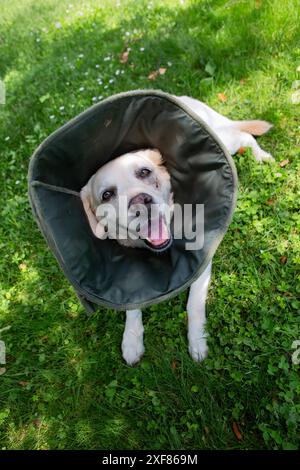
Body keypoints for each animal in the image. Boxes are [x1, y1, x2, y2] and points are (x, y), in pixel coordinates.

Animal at [80, 95, 274, 366]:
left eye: (144, 172)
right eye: (107, 195)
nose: (141, 201)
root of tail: (183, 98)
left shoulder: (202, 264)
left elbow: (194, 305)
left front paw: (198, 341)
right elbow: (131, 307)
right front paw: (131, 340)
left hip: (227, 140)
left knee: (245, 136)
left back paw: (262, 156)